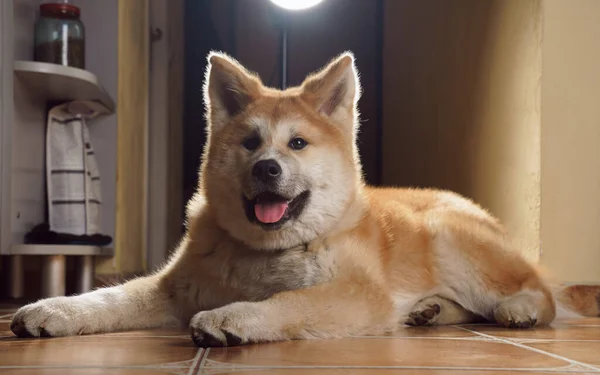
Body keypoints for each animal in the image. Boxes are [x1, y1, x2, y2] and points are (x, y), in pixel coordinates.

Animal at [10, 51, 600, 348]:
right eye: (250, 143)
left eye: (296, 144)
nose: (266, 168)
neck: (263, 252)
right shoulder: (171, 288)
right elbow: (105, 299)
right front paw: (51, 309)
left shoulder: (356, 293)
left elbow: (290, 302)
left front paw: (235, 316)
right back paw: (432, 311)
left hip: (450, 238)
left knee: (542, 295)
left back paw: (518, 309)